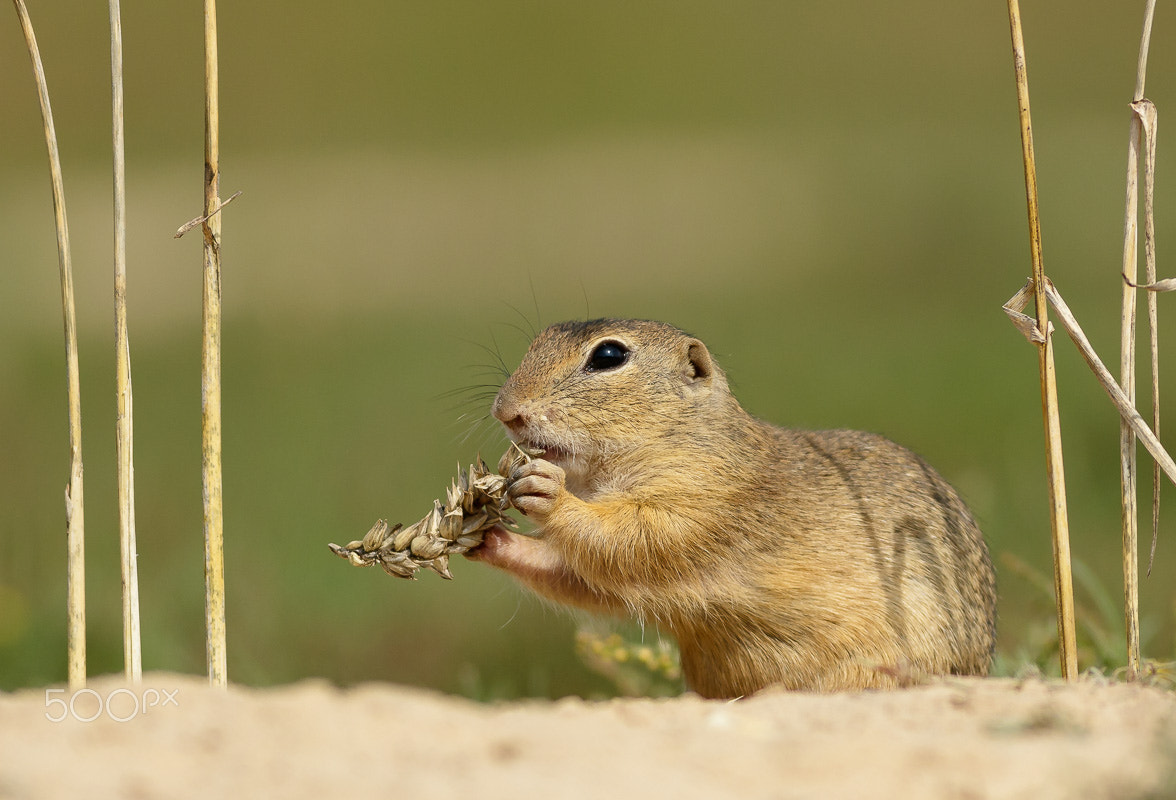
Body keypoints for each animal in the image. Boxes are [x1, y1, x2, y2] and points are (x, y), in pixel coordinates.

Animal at [463, 315, 997, 696]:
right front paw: (487, 537)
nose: (505, 410)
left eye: (609, 355)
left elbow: (632, 540)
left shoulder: (702, 502)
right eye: (538, 339)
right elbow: (588, 579)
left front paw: (545, 490)